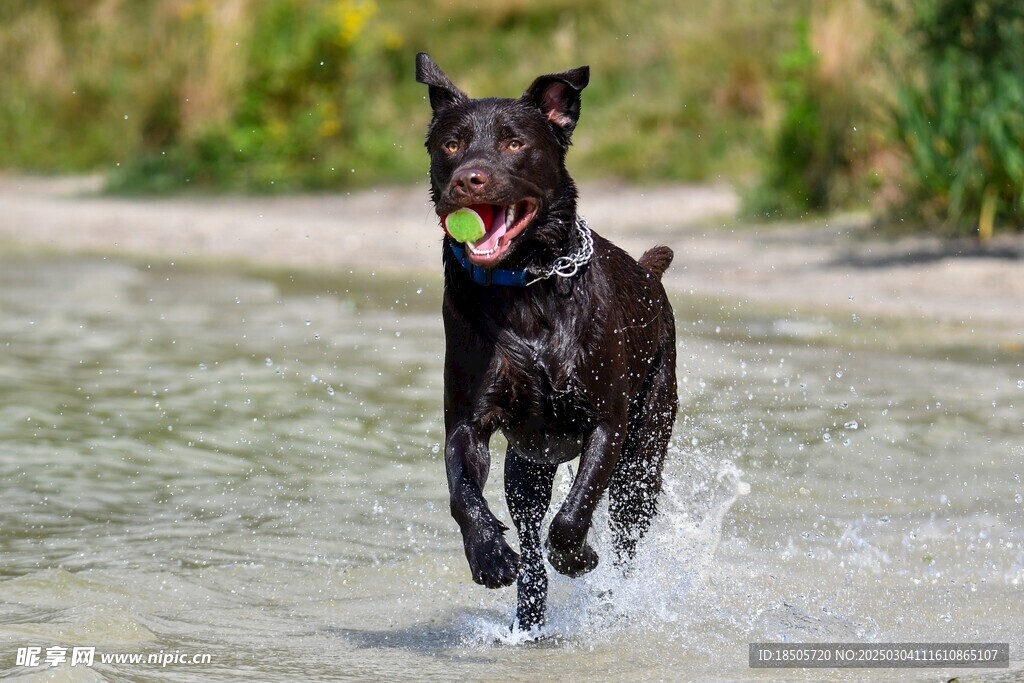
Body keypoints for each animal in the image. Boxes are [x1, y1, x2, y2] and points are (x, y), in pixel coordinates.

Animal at [415, 52, 679, 630]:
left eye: (514, 144)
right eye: (452, 145)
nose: (469, 180)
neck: (524, 287)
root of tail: (650, 277)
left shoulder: (607, 422)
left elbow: (574, 513)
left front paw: (577, 558)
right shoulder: (468, 421)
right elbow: (461, 491)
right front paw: (488, 556)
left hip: (644, 455)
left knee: (625, 533)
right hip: (527, 468)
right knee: (531, 537)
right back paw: (529, 616)